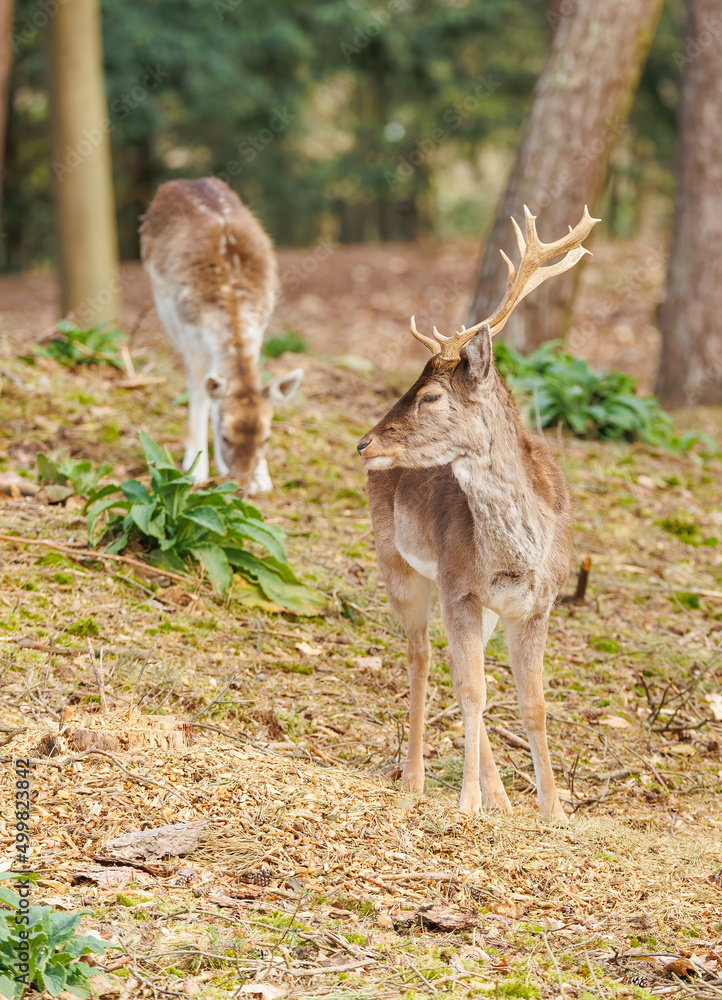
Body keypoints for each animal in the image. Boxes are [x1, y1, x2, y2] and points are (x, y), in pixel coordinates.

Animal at [140, 178, 303, 493]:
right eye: (226, 436)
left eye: (266, 438)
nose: (242, 484)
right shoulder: (190, 330)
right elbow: (199, 392)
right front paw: (195, 469)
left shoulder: (260, 328)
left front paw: (263, 478)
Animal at [357, 206, 600, 819]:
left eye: (430, 395)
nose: (365, 443)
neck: (517, 555)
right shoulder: (457, 585)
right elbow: (473, 691)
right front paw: (466, 802)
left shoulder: (536, 605)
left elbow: (532, 704)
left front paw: (553, 809)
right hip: (398, 564)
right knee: (421, 656)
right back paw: (415, 780)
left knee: (449, 664)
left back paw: (503, 798)